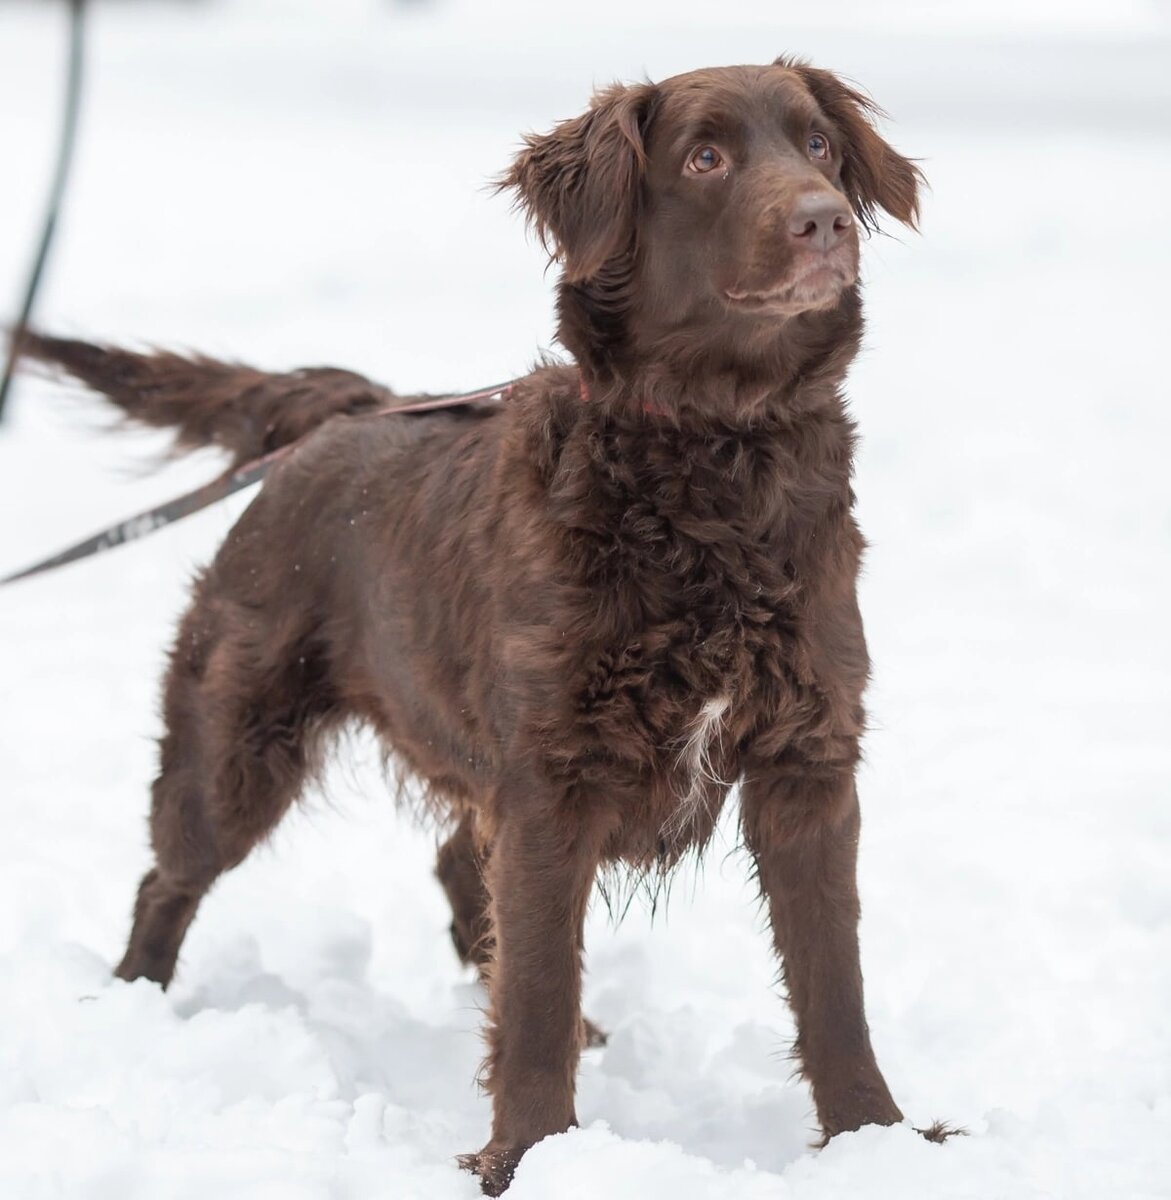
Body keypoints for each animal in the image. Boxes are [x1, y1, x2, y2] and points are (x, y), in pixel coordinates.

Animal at [22, 56, 926, 1190]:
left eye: (817, 147)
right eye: (705, 157)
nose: (822, 222)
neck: (717, 453)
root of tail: (346, 410)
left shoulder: (807, 763)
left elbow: (833, 986)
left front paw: (879, 1142)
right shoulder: (552, 775)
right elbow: (535, 995)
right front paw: (527, 1158)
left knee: (459, 865)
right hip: (233, 747)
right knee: (169, 876)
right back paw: (134, 1004)